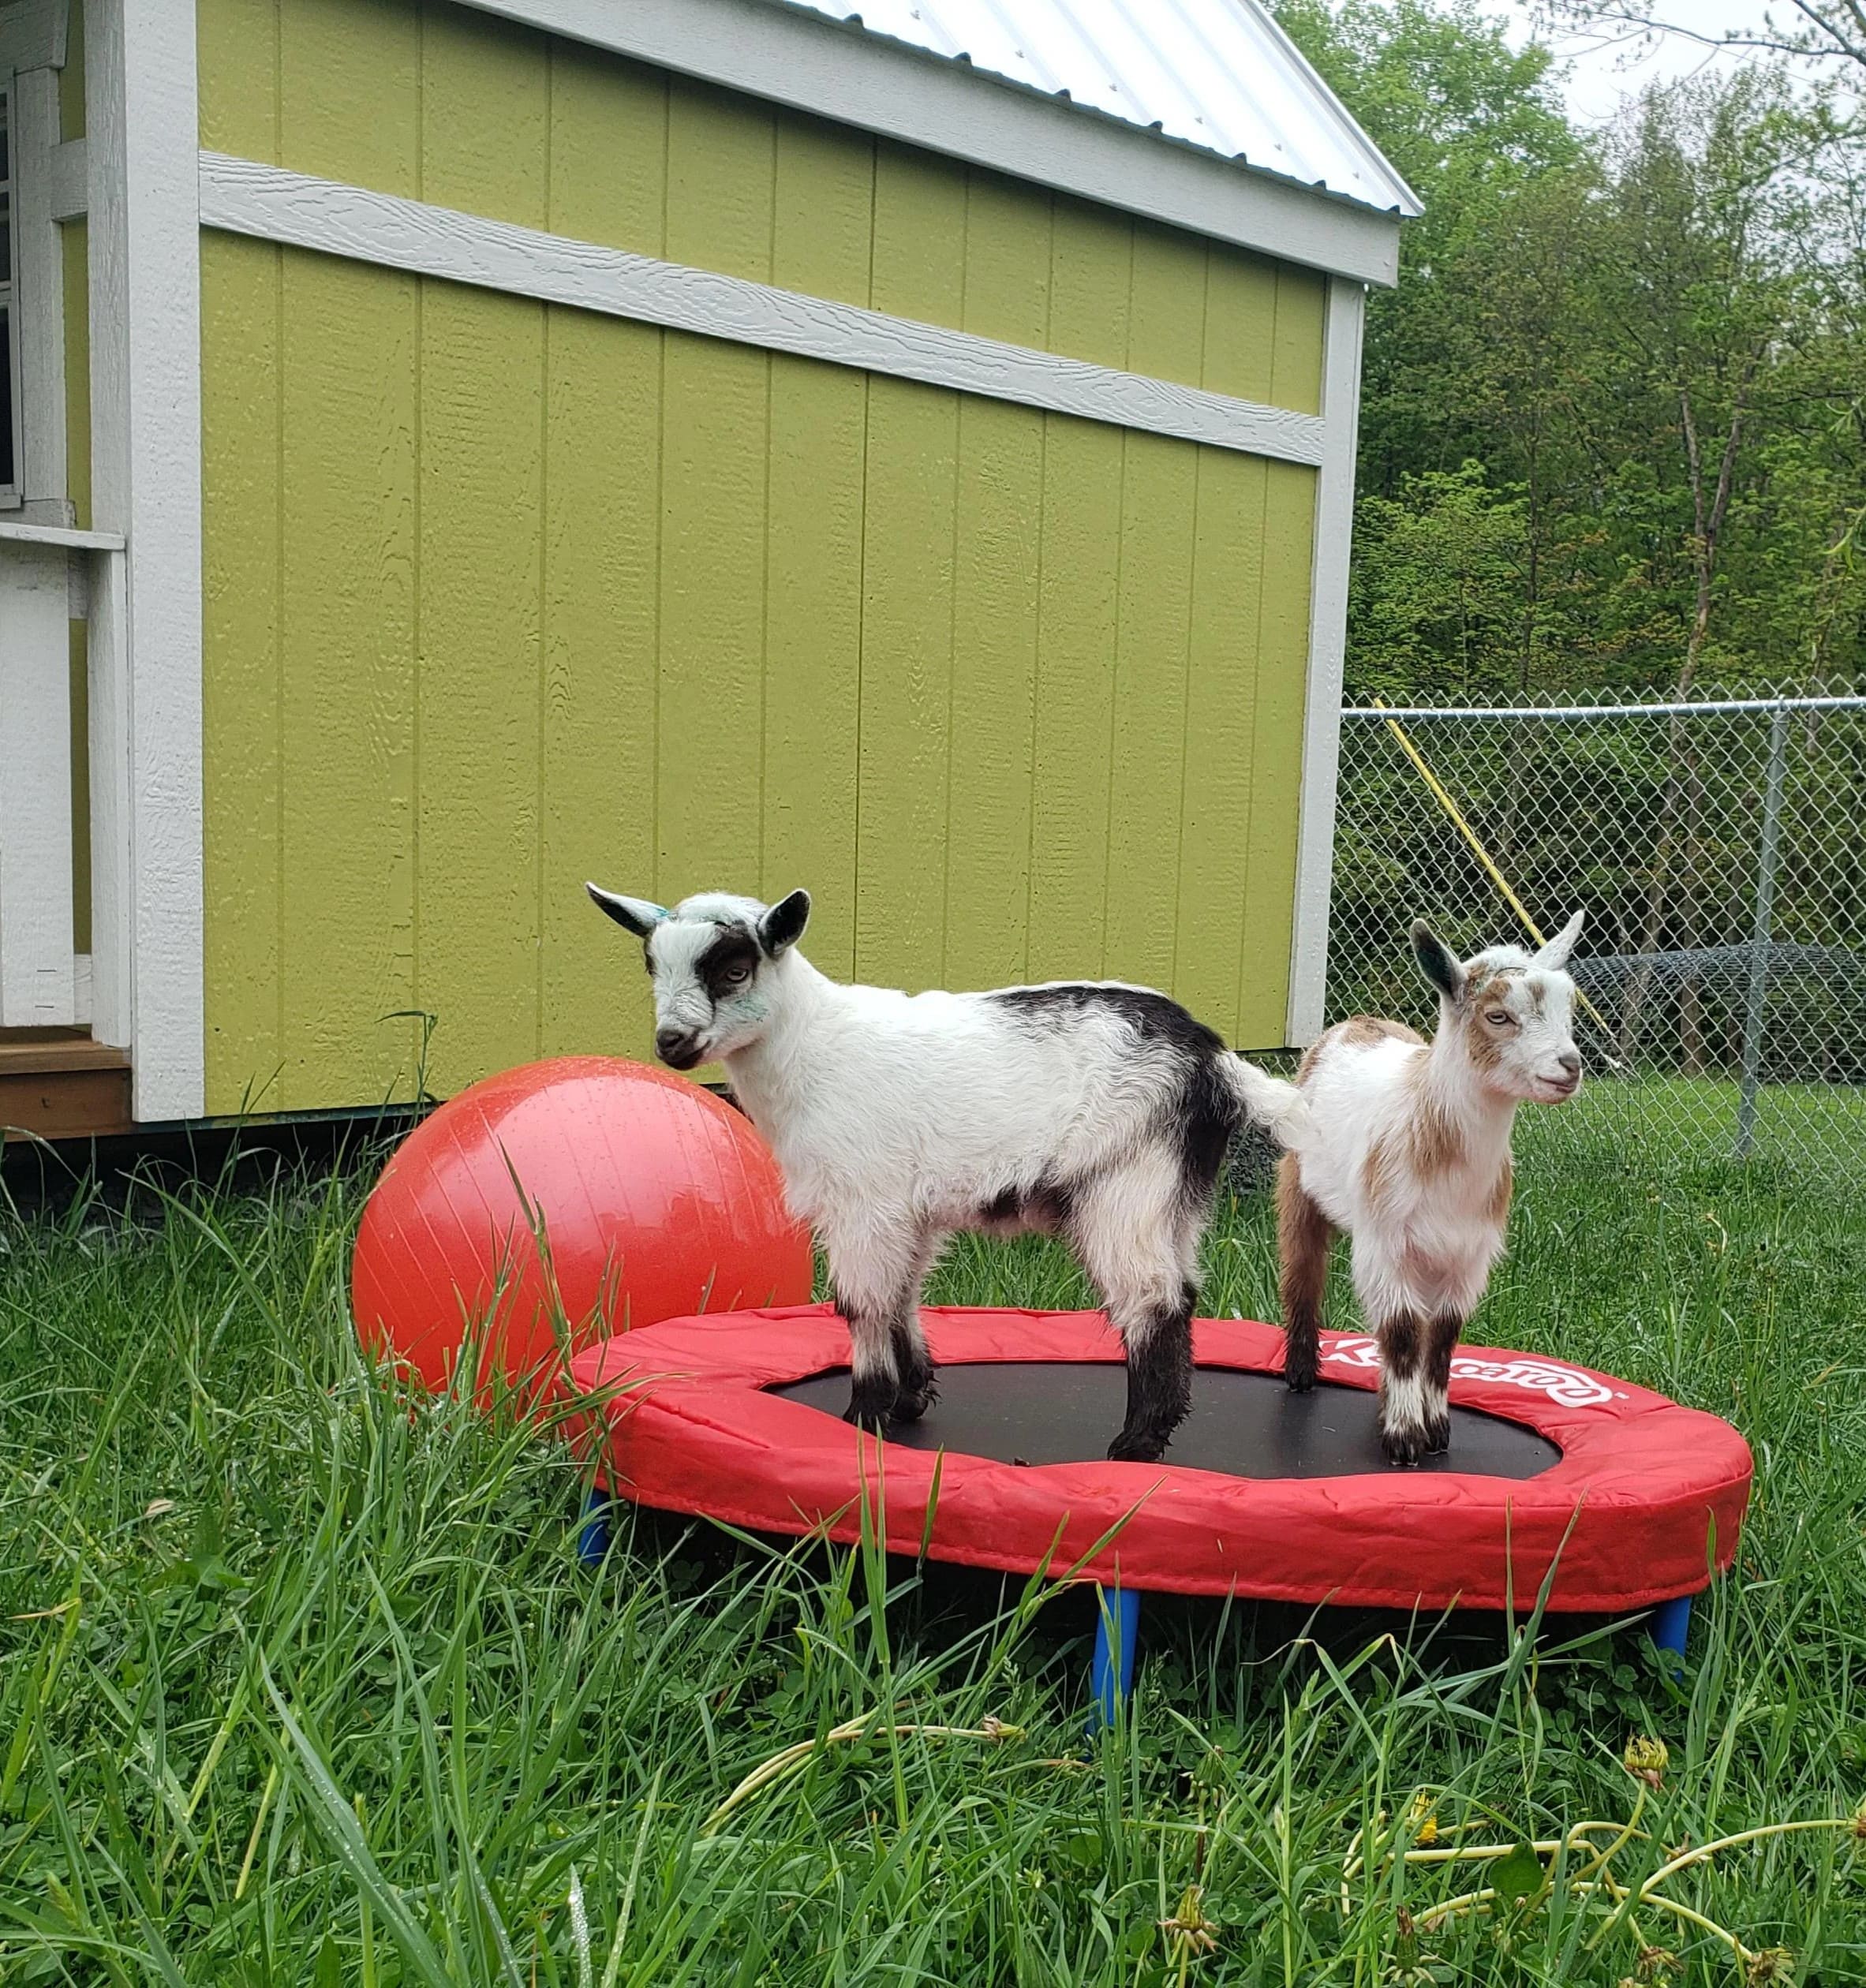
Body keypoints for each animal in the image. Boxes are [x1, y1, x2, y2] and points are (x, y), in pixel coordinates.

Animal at [587, 884, 1307, 1462]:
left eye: (735, 970)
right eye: (651, 965)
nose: (672, 1043)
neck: (811, 1045)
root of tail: (1211, 1058)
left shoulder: (863, 1200)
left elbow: (860, 1302)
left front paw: (864, 1415)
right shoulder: (908, 1210)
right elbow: (903, 1294)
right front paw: (909, 1398)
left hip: (1125, 1178)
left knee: (1151, 1298)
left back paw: (1136, 1443)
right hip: (1177, 1189)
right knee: (1181, 1290)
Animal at [1277, 912, 1586, 1466]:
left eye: (1568, 1005)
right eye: (1497, 1016)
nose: (1568, 1066)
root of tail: (1355, 1023)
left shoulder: (1468, 1253)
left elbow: (1441, 1337)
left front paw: (1436, 1430)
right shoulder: (1385, 1242)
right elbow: (1402, 1331)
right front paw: (1404, 1438)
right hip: (1298, 1182)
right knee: (1303, 1272)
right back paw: (1301, 1373)